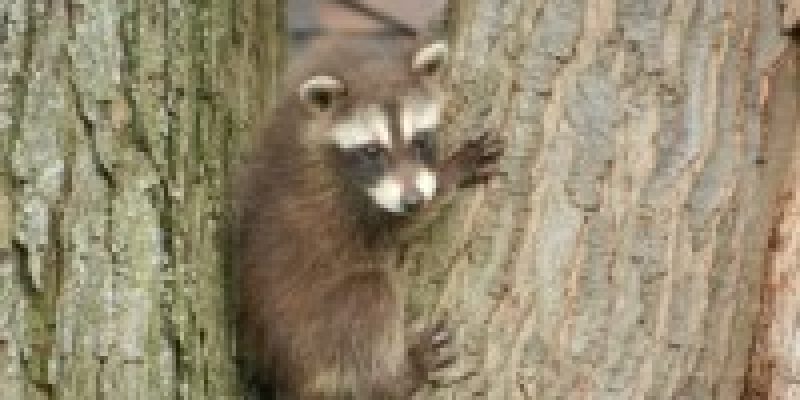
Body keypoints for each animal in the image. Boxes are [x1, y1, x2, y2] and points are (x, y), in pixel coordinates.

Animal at [235, 36, 503, 400]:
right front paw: (453, 170)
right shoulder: (332, 194)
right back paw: (399, 377)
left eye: (420, 140)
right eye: (372, 151)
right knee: (369, 301)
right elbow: (392, 225)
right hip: (315, 332)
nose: (413, 200)